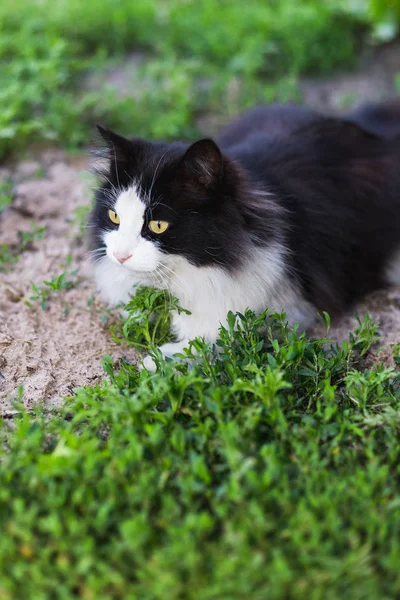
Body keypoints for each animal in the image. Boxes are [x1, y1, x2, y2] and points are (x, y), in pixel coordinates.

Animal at [90, 100, 400, 368]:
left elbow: (213, 340)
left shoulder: (284, 310)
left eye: (158, 225)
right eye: (114, 217)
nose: (120, 256)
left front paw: (158, 361)